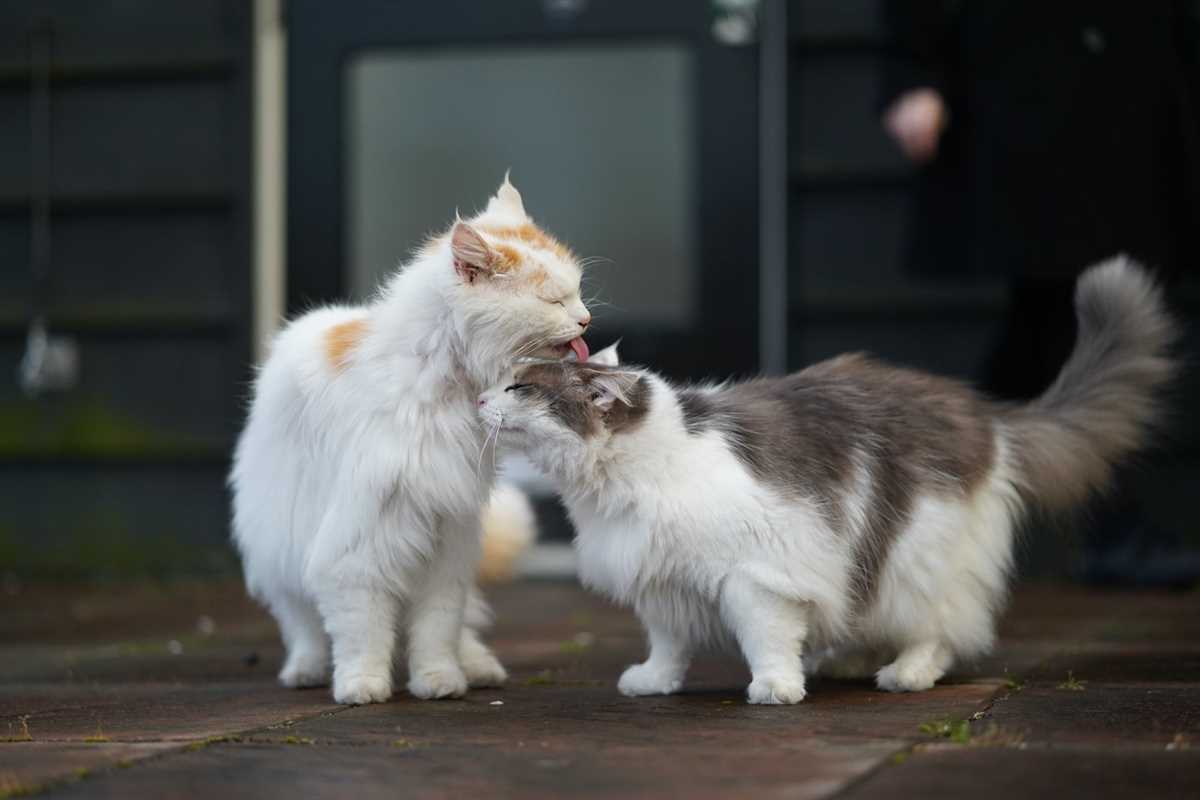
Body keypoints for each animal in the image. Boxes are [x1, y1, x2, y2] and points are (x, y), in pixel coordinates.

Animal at [229, 178, 590, 705]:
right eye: (554, 301)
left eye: (577, 292)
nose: (586, 320)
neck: (445, 383)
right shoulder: (355, 545)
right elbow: (362, 632)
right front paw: (361, 686)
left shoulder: (444, 545)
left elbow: (436, 630)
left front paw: (439, 681)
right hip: (284, 541)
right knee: (303, 624)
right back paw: (306, 670)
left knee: (462, 629)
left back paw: (478, 667)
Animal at [475, 260, 1171, 705]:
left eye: (518, 387)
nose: (477, 400)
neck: (628, 477)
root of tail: (984, 413)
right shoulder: (662, 578)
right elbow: (668, 643)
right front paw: (653, 681)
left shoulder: (756, 574)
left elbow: (766, 639)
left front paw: (776, 688)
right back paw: (846, 660)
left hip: (916, 557)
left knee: (940, 630)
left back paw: (904, 674)